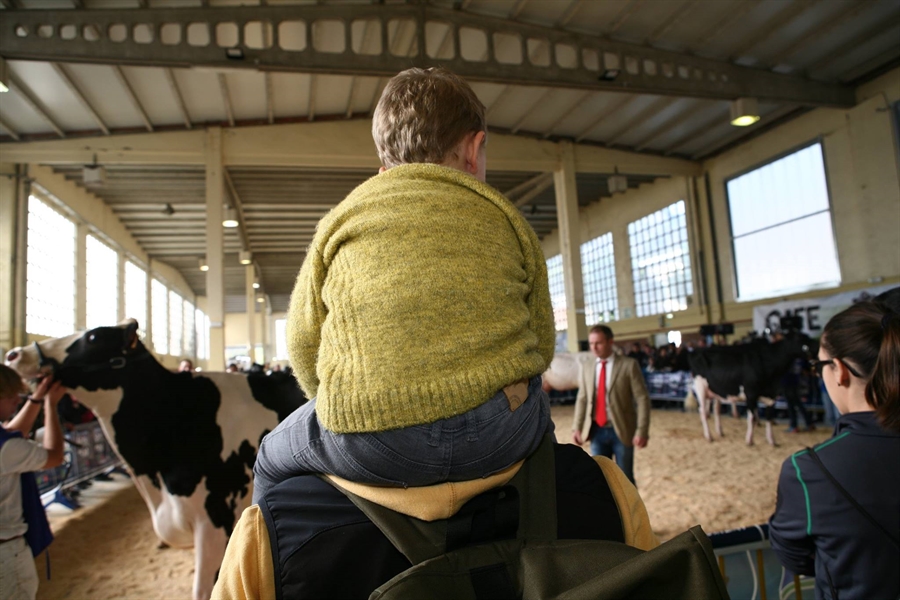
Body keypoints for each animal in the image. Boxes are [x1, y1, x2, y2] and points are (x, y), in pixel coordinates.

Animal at [688, 336, 816, 448]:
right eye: (803, 342)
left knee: (716, 410)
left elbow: (769, 418)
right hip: (700, 388)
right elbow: (752, 418)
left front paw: (772, 441)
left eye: (809, 339)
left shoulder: (771, 396)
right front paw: (749, 440)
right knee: (703, 411)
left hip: (716, 390)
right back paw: (709, 436)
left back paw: (720, 432)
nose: (817, 350)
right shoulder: (751, 394)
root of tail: (697, 351)